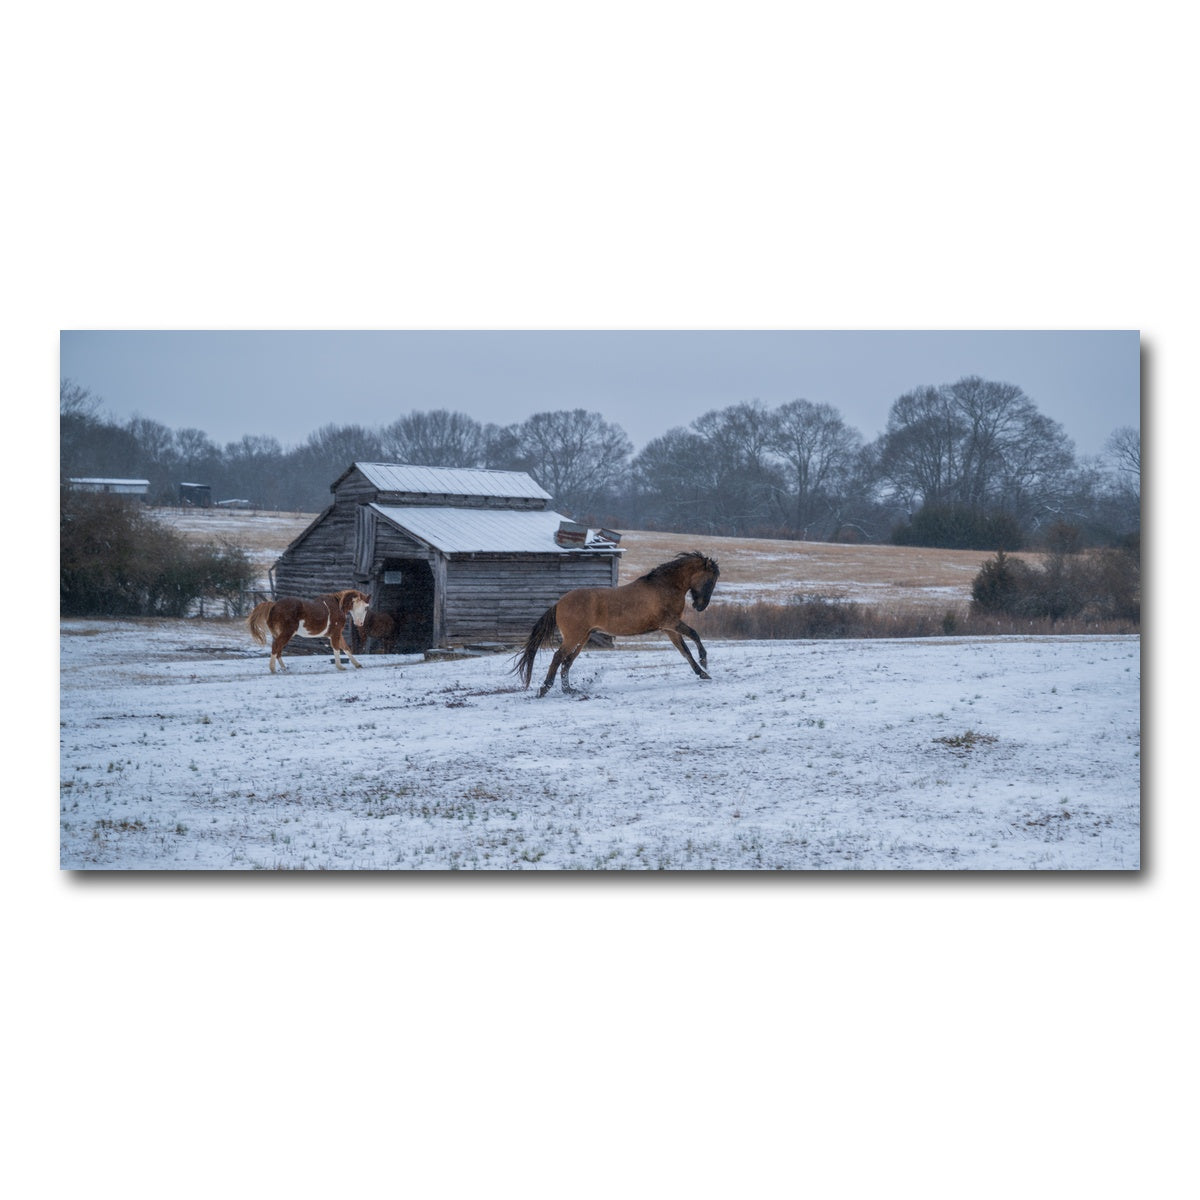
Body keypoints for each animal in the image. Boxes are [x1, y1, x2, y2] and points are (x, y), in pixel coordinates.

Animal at [513, 551, 720, 697]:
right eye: (710, 580)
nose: (700, 606)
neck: (664, 586)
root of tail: (559, 603)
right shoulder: (670, 622)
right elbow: (694, 634)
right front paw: (705, 661)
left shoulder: (669, 629)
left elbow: (684, 651)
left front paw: (702, 673)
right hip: (574, 637)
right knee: (558, 657)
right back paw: (545, 689)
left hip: (583, 638)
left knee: (567, 661)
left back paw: (569, 690)